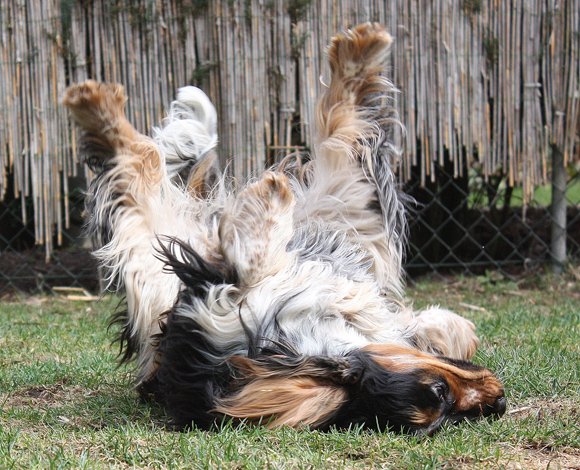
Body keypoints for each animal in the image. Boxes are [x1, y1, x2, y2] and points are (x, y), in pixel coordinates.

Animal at [62, 23, 502, 436]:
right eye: (439, 393)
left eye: (447, 417)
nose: (498, 401)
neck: (304, 338)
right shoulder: (206, 305)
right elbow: (250, 262)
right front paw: (268, 200)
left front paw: (447, 326)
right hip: (160, 259)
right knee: (141, 161)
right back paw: (95, 105)